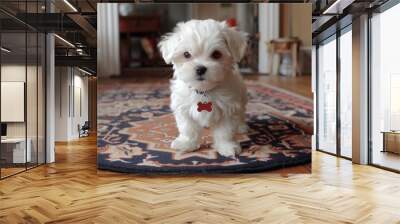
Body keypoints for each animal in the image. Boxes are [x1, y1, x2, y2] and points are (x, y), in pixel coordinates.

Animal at [159, 19, 247, 158]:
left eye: (216, 54)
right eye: (186, 54)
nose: (200, 68)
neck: (204, 90)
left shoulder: (228, 108)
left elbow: (225, 131)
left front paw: (226, 146)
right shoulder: (183, 107)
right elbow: (187, 127)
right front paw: (186, 143)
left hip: (241, 97)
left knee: (241, 113)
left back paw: (241, 126)